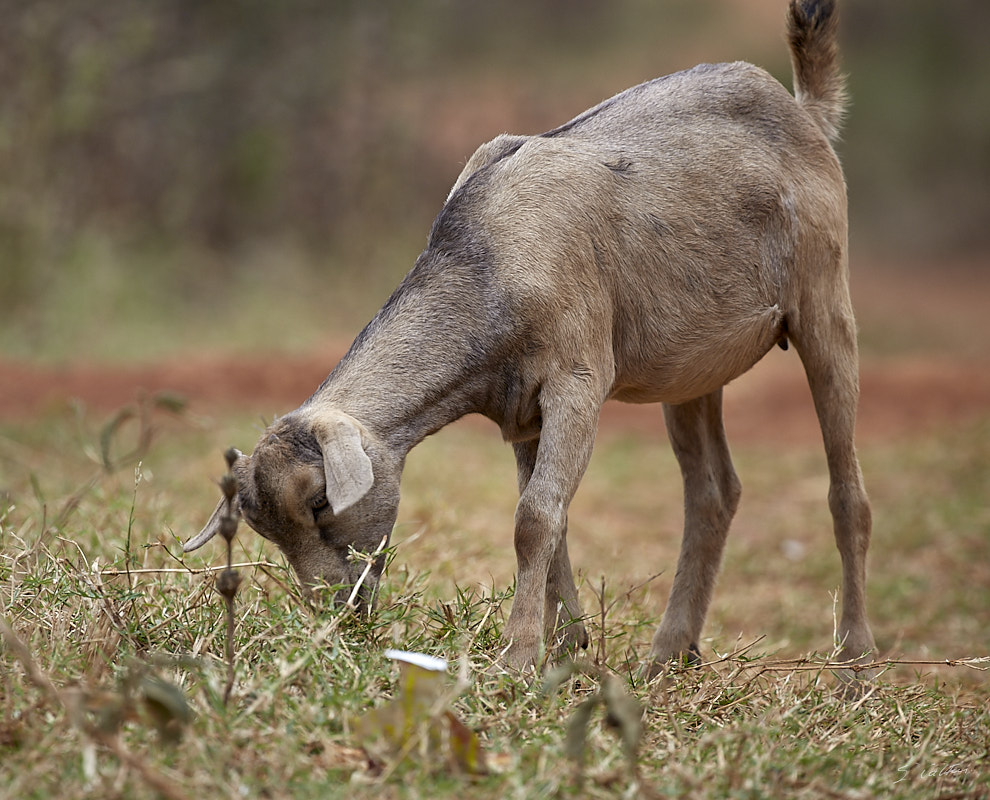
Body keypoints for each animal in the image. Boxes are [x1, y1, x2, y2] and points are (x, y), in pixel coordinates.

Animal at [184, 0, 876, 680]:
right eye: (267, 530)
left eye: (322, 503)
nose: (340, 612)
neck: (491, 262)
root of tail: (805, 111)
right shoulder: (520, 410)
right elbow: (548, 515)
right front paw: (565, 648)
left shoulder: (576, 383)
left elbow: (535, 517)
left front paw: (518, 659)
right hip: (692, 371)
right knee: (713, 493)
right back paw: (669, 654)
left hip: (825, 303)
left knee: (847, 494)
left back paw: (855, 661)